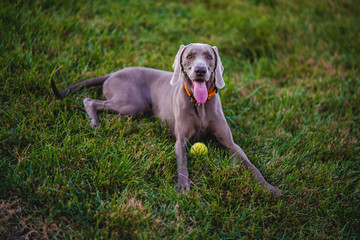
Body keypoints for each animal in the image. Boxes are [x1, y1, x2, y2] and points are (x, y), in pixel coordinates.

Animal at [51, 43, 282, 195]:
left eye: (209, 57)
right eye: (189, 56)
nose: (200, 70)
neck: (199, 105)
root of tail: (112, 73)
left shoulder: (231, 144)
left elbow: (251, 166)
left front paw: (269, 187)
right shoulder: (181, 140)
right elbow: (183, 163)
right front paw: (183, 186)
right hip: (133, 104)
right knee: (89, 100)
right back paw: (95, 123)